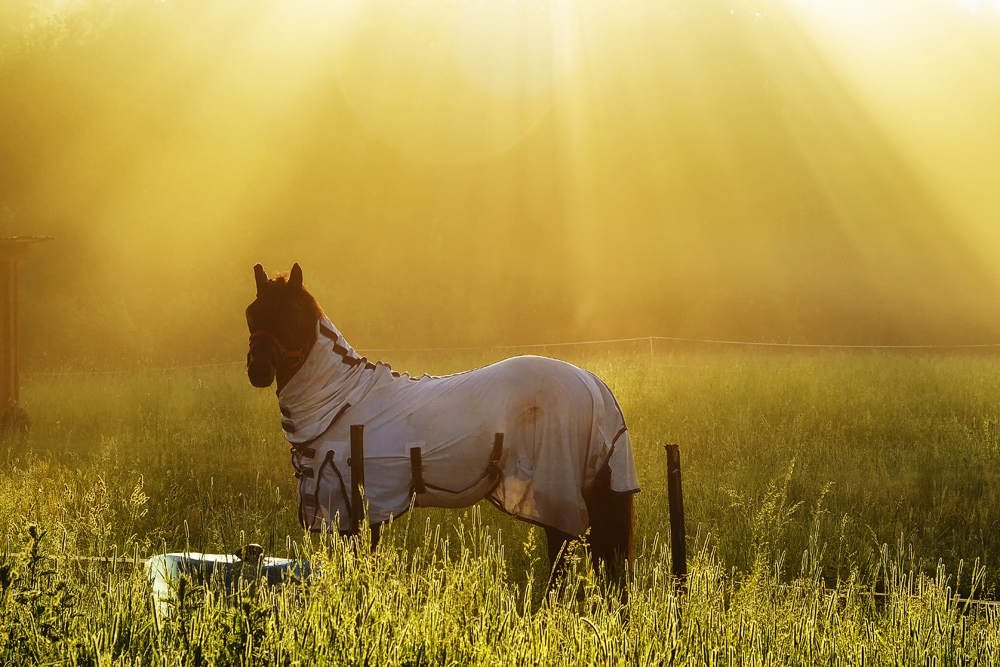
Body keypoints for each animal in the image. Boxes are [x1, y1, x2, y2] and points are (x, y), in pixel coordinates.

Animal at [250, 260, 640, 580]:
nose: (258, 371)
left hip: (556, 499)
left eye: (291, 313)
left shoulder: (353, 508)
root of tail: (593, 384)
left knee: (561, 564)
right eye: (252, 313)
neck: (341, 401)